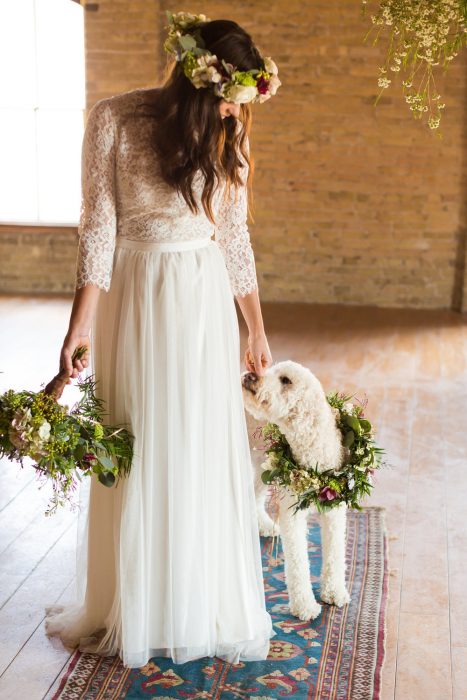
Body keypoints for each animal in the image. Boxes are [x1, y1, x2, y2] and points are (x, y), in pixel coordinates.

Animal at [243, 360, 350, 616]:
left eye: (286, 380)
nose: (250, 374)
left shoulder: (335, 511)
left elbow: (335, 553)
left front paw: (334, 591)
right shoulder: (292, 516)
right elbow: (298, 562)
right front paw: (305, 605)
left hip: (264, 464)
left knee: (255, 496)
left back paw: (264, 525)